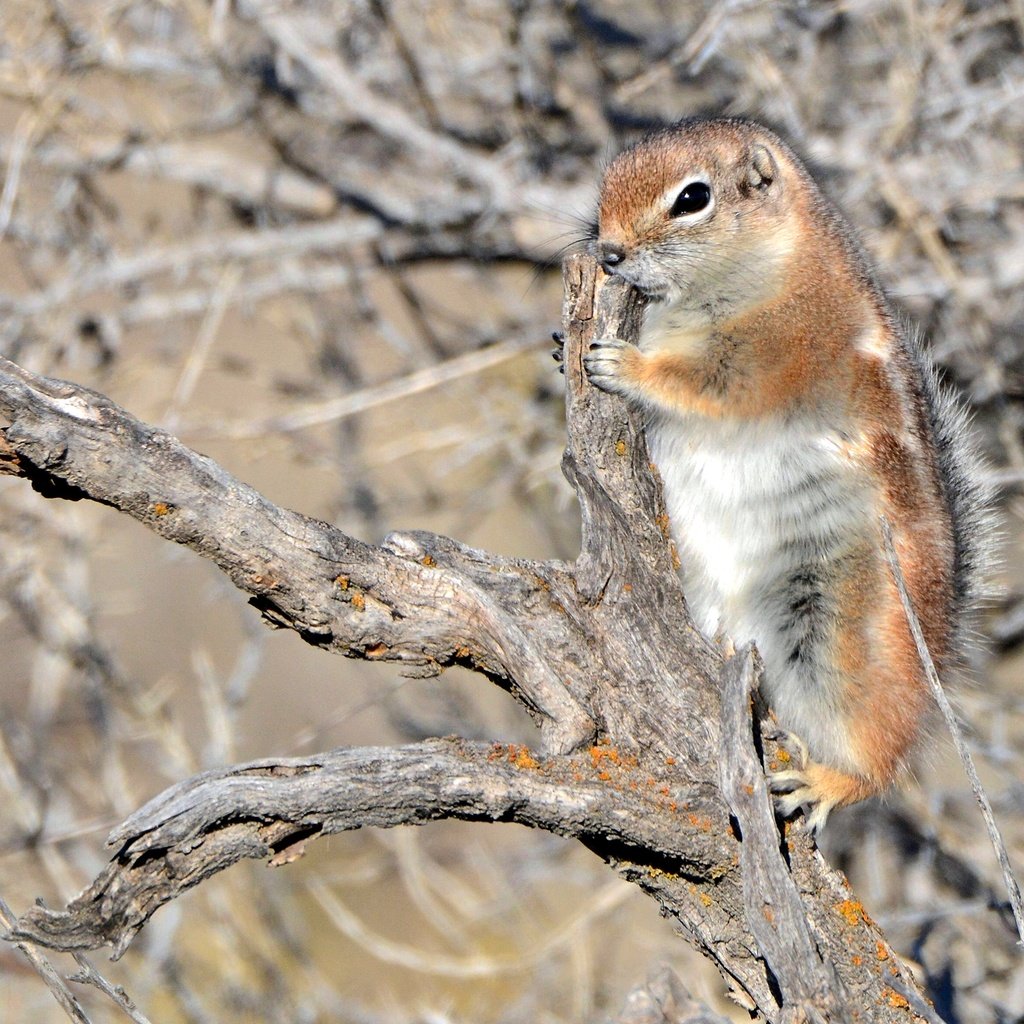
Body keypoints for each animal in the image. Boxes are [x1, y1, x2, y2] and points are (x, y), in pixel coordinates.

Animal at [573, 116, 987, 827]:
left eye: (692, 198)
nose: (609, 254)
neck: (776, 265)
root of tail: (940, 648)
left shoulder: (775, 355)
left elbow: (703, 385)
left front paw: (626, 365)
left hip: (838, 636)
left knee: (881, 757)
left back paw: (829, 781)